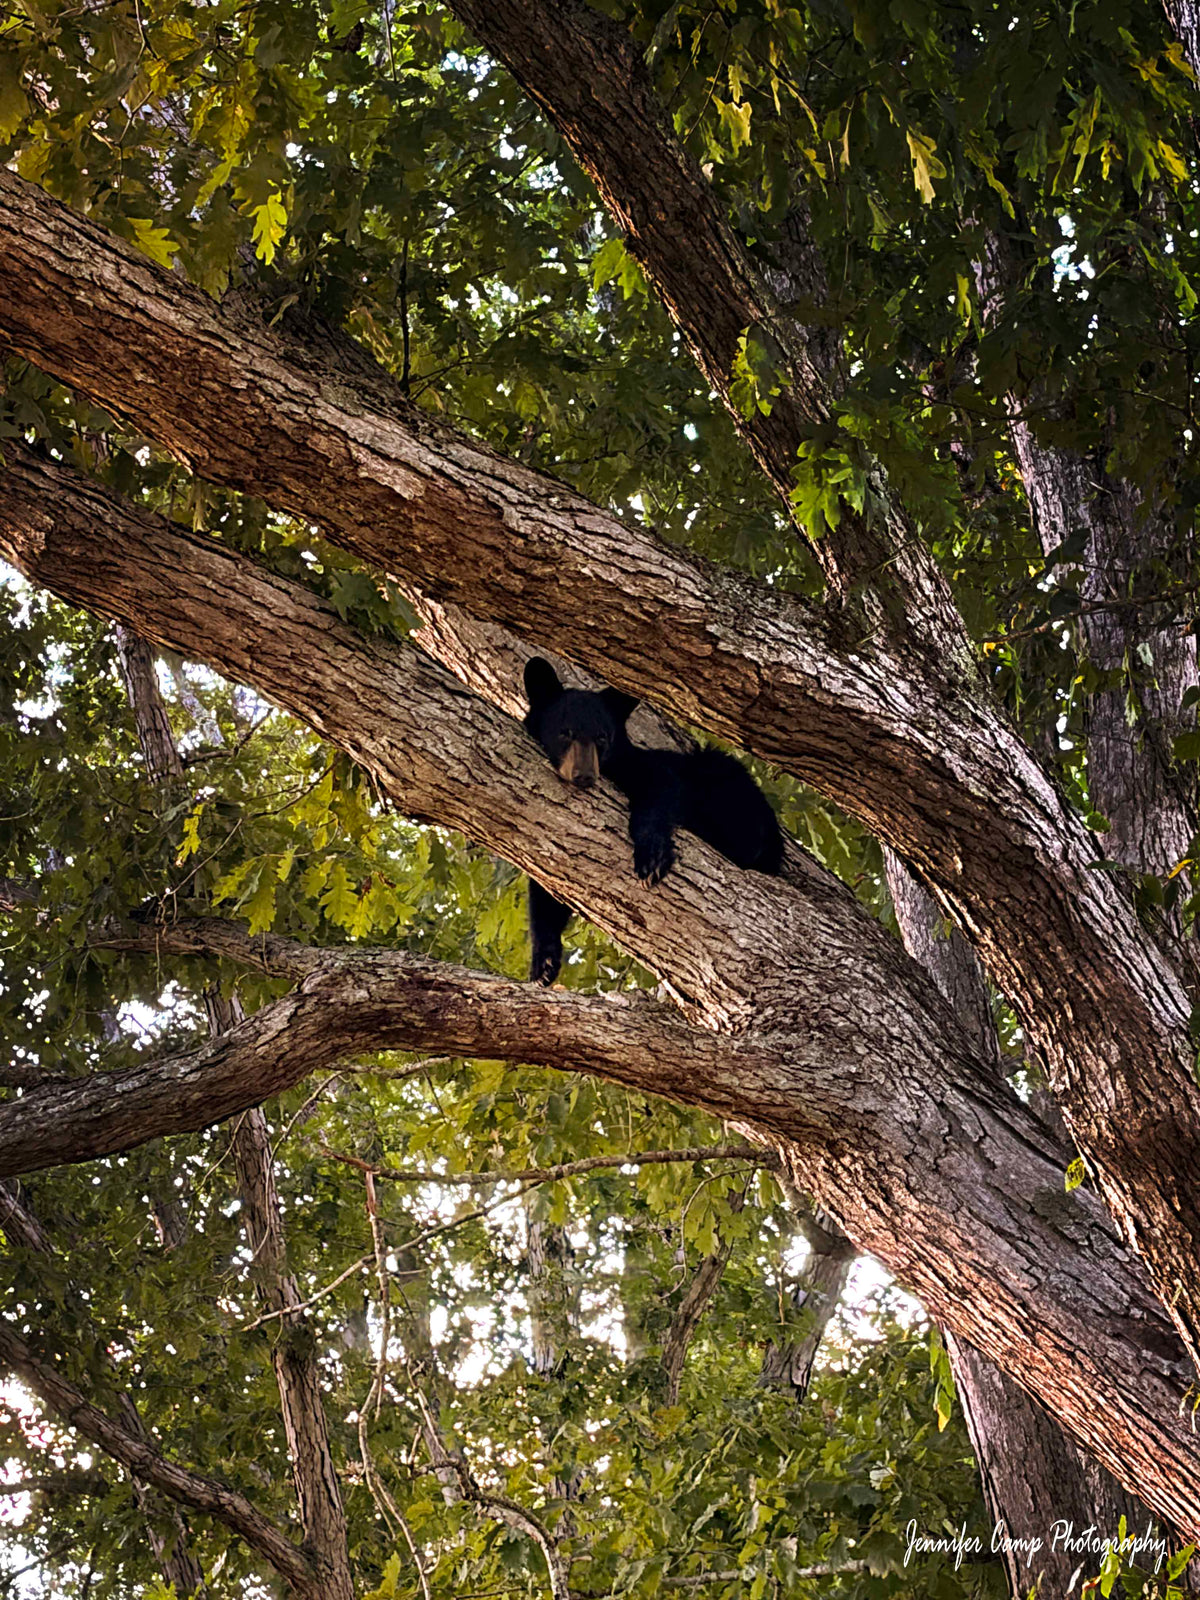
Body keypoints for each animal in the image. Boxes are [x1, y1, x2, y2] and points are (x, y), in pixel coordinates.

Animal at [522, 657, 784, 984]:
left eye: (602, 737)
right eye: (564, 732)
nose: (584, 775)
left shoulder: (640, 765)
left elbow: (659, 785)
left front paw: (652, 857)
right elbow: (546, 887)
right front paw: (543, 962)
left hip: (729, 785)